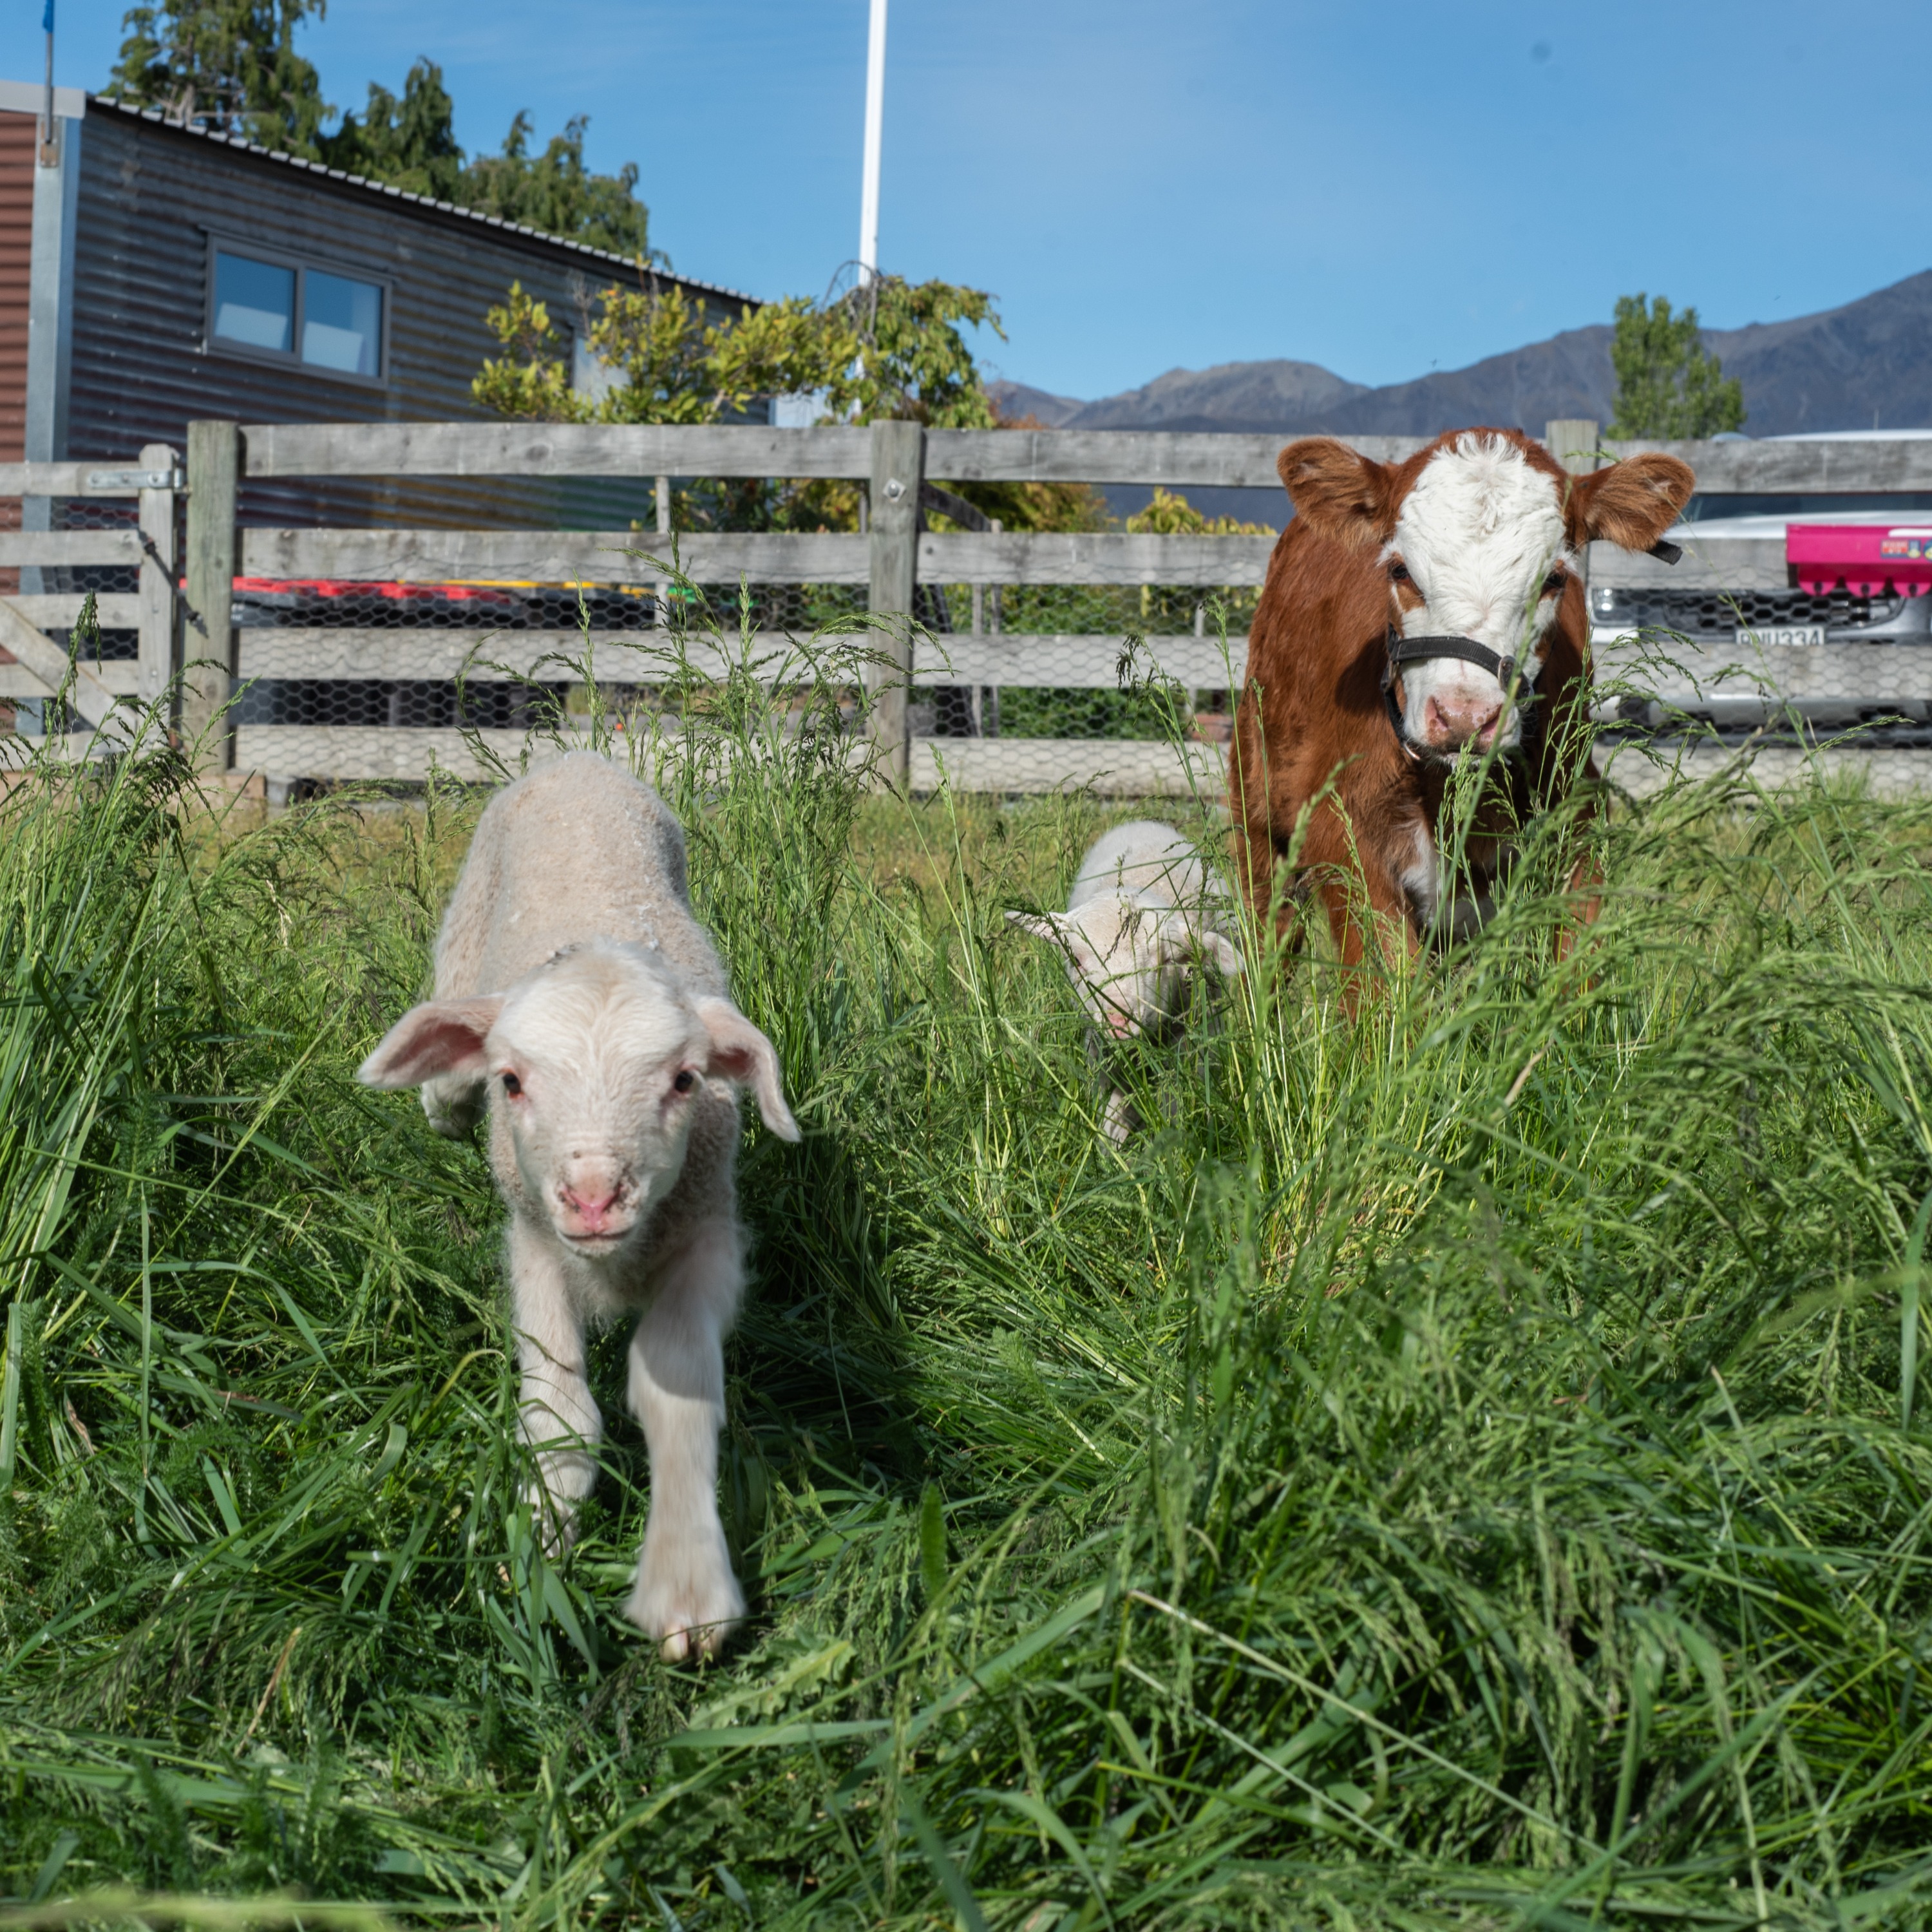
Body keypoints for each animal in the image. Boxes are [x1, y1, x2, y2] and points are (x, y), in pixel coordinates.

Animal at [355, 753, 792, 1662]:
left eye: (686, 1080)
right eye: (514, 1082)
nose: (594, 1194)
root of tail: (576, 759)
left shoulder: (708, 1232)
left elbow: (676, 1387)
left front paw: (685, 1587)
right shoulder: (534, 1243)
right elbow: (558, 1412)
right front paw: (533, 1561)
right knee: (445, 1088)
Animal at [1005, 819, 1244, 1144]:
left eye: (1165, 959)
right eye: (1076, 960)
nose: (1118, 1019)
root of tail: (1144, 823)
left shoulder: (1190, 1037)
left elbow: (1173, 1103)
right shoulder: (1100, 1049)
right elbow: (1112, 1115)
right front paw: (1112, 1151)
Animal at [1236, 423, 1692, 966]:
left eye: (1554, 578)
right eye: (1399, 570)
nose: (1463, 718)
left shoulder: (1575, 820)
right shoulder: (1342, 830)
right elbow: (1384, 975)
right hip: (1255, 808)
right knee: (1272, 935)